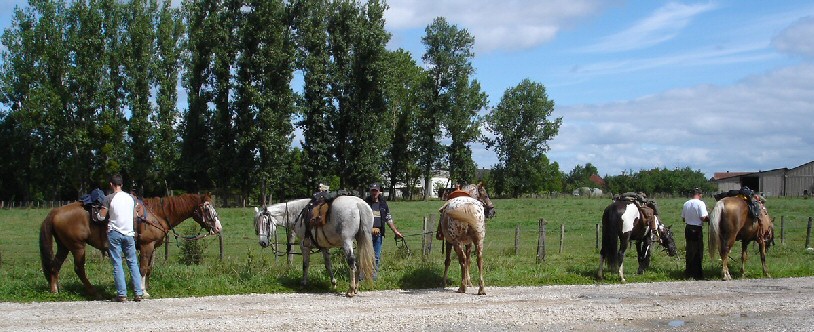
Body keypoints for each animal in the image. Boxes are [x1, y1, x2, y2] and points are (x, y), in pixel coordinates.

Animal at [39, 192, 222, 298]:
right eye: (207, 209)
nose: (218, 227)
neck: (157, 214)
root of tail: (55, 211)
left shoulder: (153, 247)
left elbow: (149, 269)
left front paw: (145, 289)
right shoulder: (147, 245)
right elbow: (142, 268)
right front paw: (141, 291)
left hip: (64, 246)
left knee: (55, 266)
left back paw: (55, 290)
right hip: (78, 247)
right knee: (79, 269)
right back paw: (93, 292)